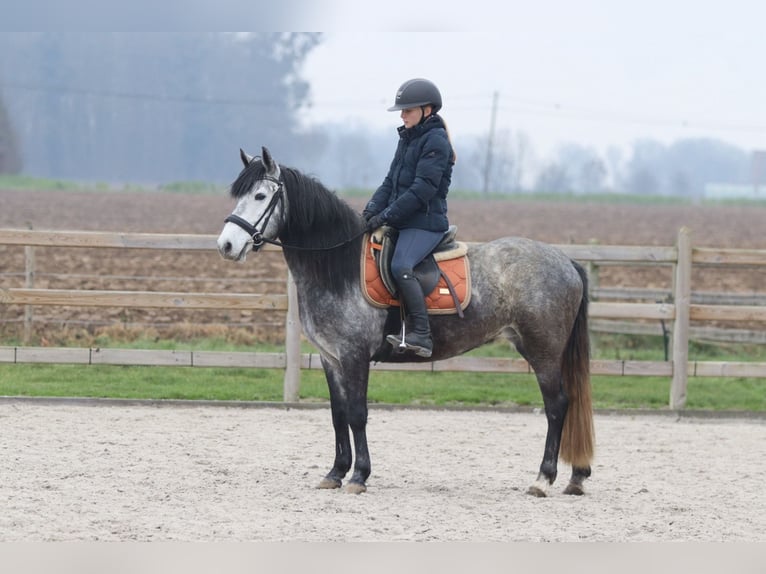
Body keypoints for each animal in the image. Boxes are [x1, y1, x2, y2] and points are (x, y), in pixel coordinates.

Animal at [217, 146, 595, 497]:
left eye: (260, 196)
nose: (226, 245)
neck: (339, 266)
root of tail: (566, 262)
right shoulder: (331, 358)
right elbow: (338, 415)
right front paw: (335, 473)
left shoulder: (354, 356)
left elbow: (357, 413)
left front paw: (359, 476)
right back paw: (576, 477)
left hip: (543, 351)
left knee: (557, 406)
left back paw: (543, 479)